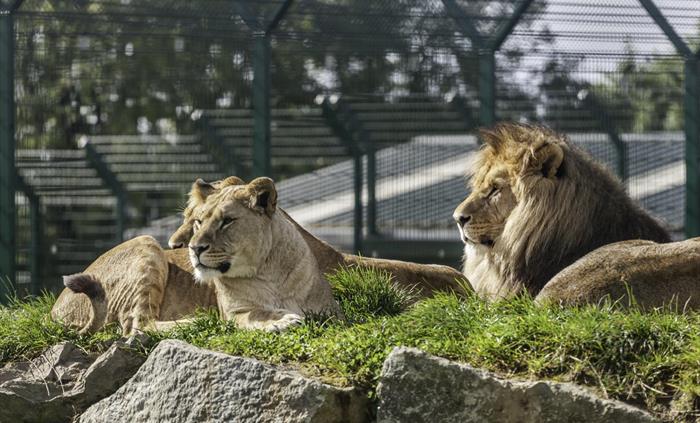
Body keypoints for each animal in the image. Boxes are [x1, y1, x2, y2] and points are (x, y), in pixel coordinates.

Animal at [187, 177, 341, 330]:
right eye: (198, 222)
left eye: (227, 221)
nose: (194, 248)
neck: (268, 271)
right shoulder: (234, 313)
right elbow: (258, 313)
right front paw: (284, 320)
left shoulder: (330, 310)